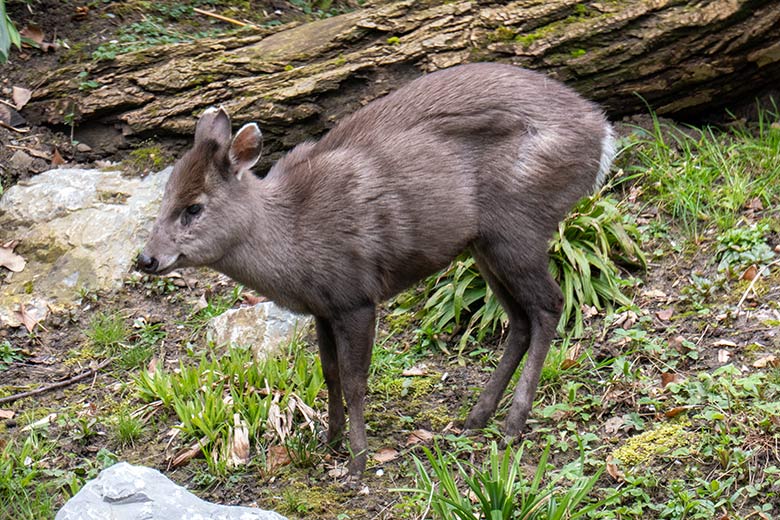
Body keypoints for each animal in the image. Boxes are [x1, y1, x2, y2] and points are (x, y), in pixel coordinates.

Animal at [139, 63, 616, 478]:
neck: (293, 234)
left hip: (518, 227)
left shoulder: (355, 296)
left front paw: (357, 462)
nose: (146, 259)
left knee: (548, 305)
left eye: (193, 207)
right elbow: (328, 373)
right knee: (519, 318)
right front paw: (329, 440)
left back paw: (512, 424)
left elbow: (355, 381)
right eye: (164, 198)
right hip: (485, 245)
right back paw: (476, 416)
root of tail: (603, 132)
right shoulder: (323, 307)